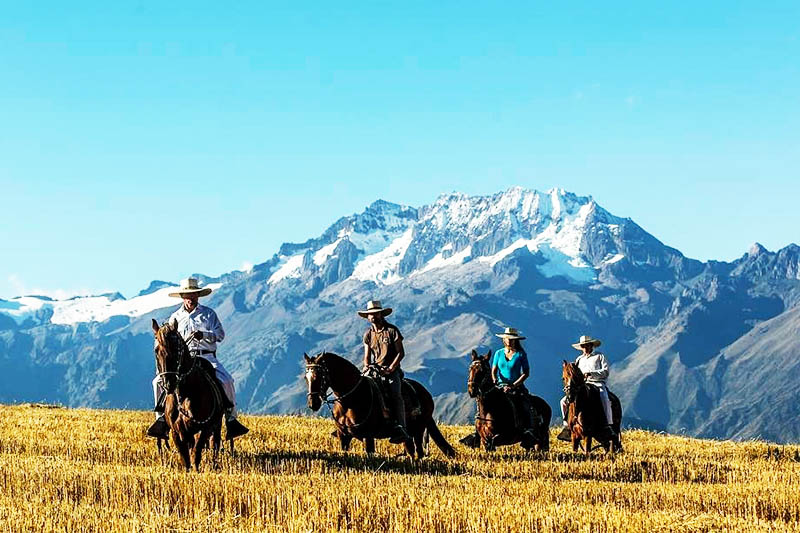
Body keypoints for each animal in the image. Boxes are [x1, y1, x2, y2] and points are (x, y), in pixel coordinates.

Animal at [152, 318, 225, 468]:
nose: (168, 384)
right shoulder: (177, 432)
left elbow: (196, 455)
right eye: (156, 350)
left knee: (215, 443)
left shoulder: (203, 429)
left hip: (216, 424)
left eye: (176, 348)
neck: (184, 394)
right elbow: (185, 459)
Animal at [304, 352, 456, 460]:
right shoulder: (344, 436)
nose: (313, 403)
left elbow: (370, 454)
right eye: (306, 377)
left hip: (418, 430)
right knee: (411, 450)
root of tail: (425, 393)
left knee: (419, 452)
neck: (350, 400)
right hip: (410, 434)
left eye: (320, 376)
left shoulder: (368, 435)